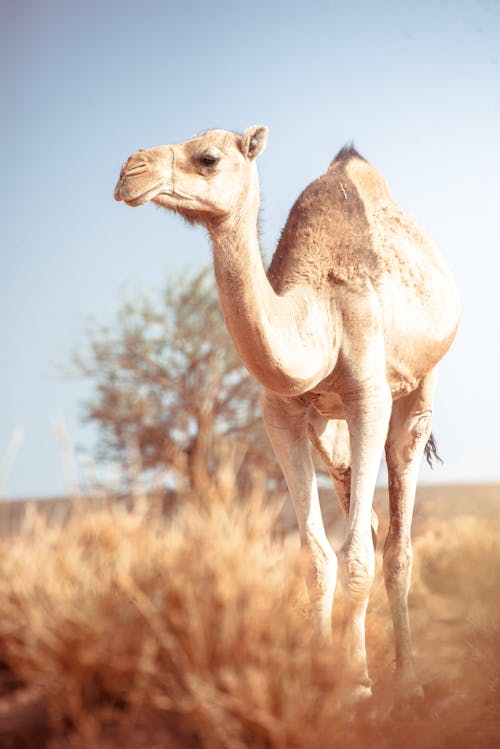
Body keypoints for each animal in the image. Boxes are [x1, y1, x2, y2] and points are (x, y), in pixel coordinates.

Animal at [115, 129, 458, 700]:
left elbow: (358, 556)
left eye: (208, 158)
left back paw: (408, 680)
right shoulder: (279, 414)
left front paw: (357, 687)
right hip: (328, 429)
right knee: (364, 513)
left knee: (396, 538)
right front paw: (325, 678)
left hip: (418, 389)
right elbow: (317, 559)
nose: (130, 172)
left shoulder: (369, 397)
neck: (321, 315)